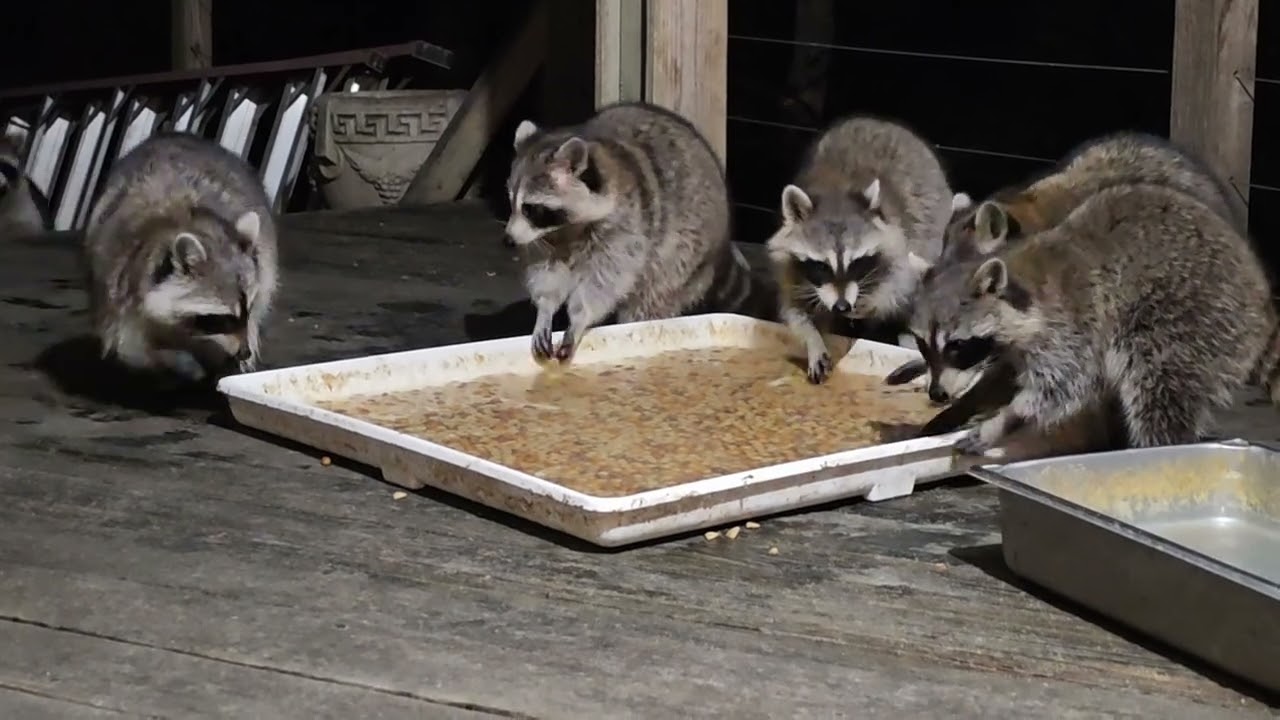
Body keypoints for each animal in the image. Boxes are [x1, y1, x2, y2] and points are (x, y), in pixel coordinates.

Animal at [83, 132, 278, 382]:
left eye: (248, 309)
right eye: (224, 318)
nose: (244, 353)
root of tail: (175, 135)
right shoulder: (119, 283)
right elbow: (132, 349)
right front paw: (177, 362)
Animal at [504, 101, 765, 362]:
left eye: (530, 208)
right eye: (511, 201)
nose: (508, 239)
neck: (568, 228)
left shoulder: (625, 227)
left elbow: (604, 280)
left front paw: (579, 317)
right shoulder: (546, 239)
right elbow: (546, 272)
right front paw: (545, 310)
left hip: (682, 263)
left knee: (648, 302)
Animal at [765, 114, 962, 384]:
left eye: (856, 262)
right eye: (821, 265)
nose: (842, 307)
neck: (834, 193)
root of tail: (879, 122)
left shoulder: (899, 243)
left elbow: (898, 285)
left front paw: (873, 303)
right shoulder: (792, 268)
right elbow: (794, 309)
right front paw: (812, 339)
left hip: (932, 219)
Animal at [909, 181, 1279, 456]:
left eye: (957, 346)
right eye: (922, 344)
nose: (937, 394)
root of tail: (1261, 296)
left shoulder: (1073, 324)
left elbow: (1063, 387)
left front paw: (1004, 419)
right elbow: (1004, 379)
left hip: (1193, 314)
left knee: (1157, 385)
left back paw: (1157, 447)